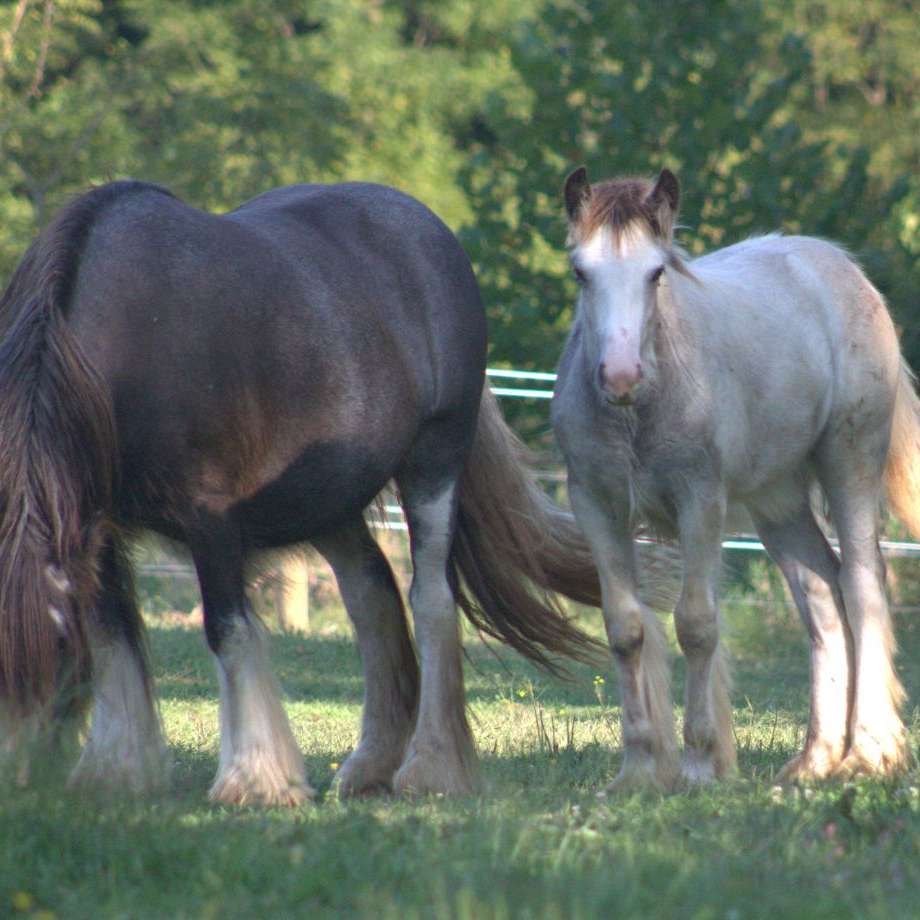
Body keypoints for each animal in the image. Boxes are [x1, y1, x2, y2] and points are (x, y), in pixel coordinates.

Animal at [0, 181, 604, 804]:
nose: (21, 778)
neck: (126, 336)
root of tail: (428, 228)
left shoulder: (211, 521)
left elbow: (228, 632)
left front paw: (254, 779)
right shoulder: (96, 524)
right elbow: (112, 634)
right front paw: (118, 771)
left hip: (434, 463)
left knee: (431, 601)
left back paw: (432, 768)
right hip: (330, 503)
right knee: (372, 597)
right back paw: (370, 765)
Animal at [552, 167, 920, 792]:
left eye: (656, 272)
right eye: (581, 271)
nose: (621, 376)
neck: (642, 410)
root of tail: (843, 269)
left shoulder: (701, 502)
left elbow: (697, 624)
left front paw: (701, 765)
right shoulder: (596, 504)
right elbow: (626, 629)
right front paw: (639, 769)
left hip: (849, 462)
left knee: (863, 584)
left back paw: (868, 752)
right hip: (779, 501)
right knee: (821, 596)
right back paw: (815, 759)